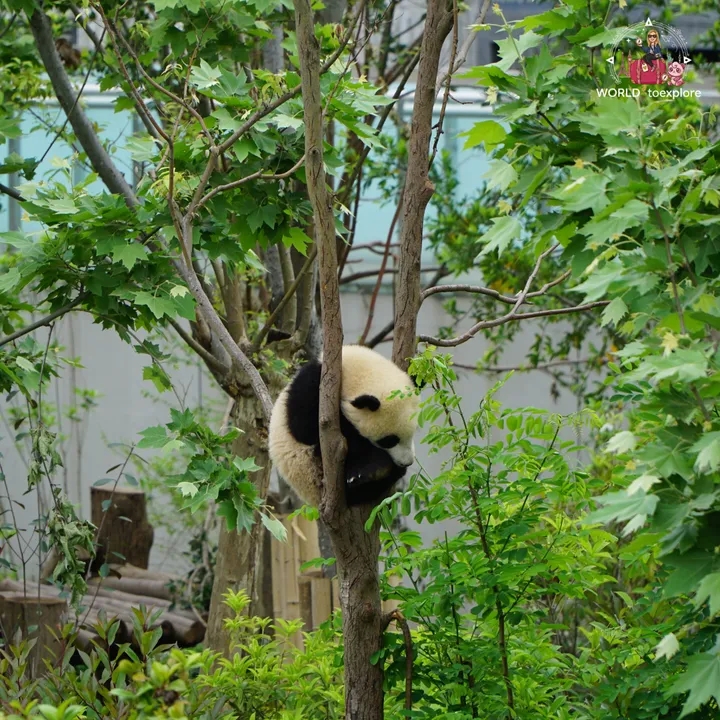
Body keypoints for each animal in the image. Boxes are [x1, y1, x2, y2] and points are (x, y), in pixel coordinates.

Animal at [268, 345, 420, 507]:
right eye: (389, 440)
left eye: (413, 433)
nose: (407, 462)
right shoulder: (311, 387)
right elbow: (304, 429)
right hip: (311, 468)